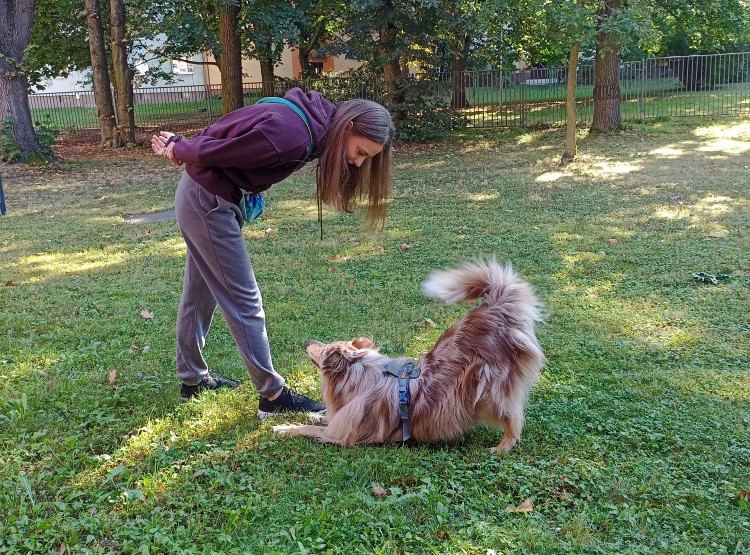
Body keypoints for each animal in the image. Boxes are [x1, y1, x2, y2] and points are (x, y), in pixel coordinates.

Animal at [274, 258, 544, 454]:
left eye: (322, 348)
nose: (308, 341)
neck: (358, 378)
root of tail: (495, 308)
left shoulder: (340, 434)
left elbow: (308, 428)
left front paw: (283, 427)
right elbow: (318, 418)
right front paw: (309, 413)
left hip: (489, 391)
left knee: (513, 421)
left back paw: (502, 447)